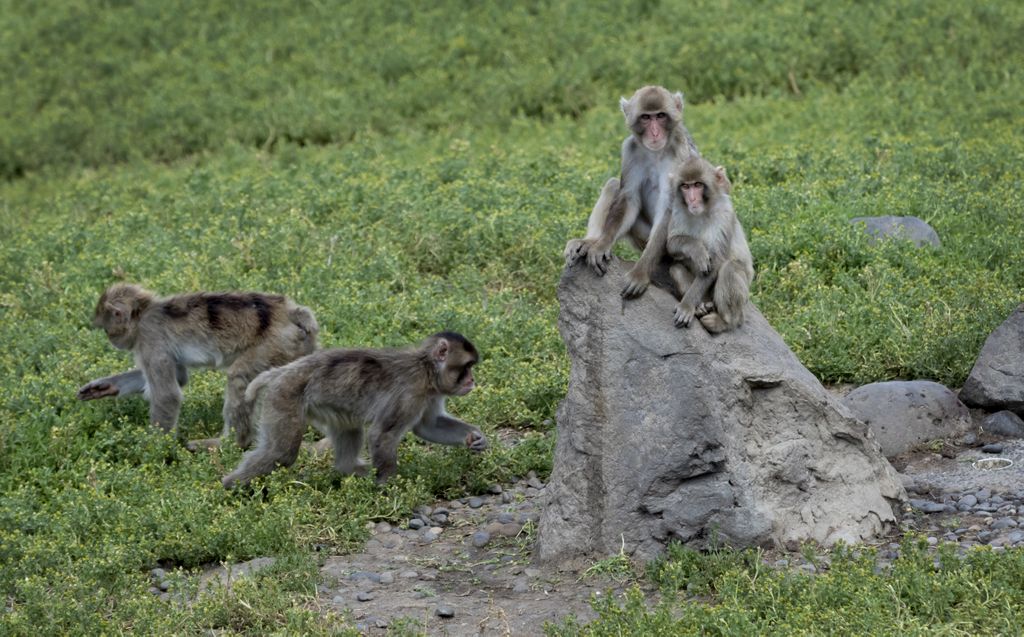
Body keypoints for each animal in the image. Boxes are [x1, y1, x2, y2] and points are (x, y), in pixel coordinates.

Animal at [77, 283, 319, 448]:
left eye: (107, 329)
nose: (111, 340)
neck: (143, 313)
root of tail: (290, 312)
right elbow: (180, 377)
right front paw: (106, 386)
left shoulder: (150, 337)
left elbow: (167, 396)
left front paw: (154, 448)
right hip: (297, 348)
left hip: (275, 344)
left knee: (238, 376)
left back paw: (230, 443)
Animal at [221, 331, 487, 488]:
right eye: (466, 367)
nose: (471, 380)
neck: (427, 370)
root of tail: (284, 371)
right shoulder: (410, 394)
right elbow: (382, 435)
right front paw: (388, 487)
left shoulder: (430, 394)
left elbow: (428, 426)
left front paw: (475, 438)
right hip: (284, 396)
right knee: (280, 453)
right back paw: (231, 486)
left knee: (348, 426)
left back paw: (349, 469)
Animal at [564, 85, 699, 298]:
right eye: (646, 117)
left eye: (661, 116)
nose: (654, 133)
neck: (656, 152)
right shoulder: (630, 149)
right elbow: (628, 197)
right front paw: (601, 246)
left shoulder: (680, 155)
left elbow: (670, 208)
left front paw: (639, 274)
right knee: (613, 185)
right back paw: (589, 241)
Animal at [665, 155, 754, 333]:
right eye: (685, 186)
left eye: (698, 185)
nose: (692, 199)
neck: (703, 211)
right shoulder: (677, 210)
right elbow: (672, 243)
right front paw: (697, 250)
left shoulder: (724, 213)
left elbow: (716, 261)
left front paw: (687, 306)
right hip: (706, 296)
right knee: (676, 268)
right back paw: (700, 307)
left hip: (743, 296)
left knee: (730, 268)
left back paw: (725, 322)